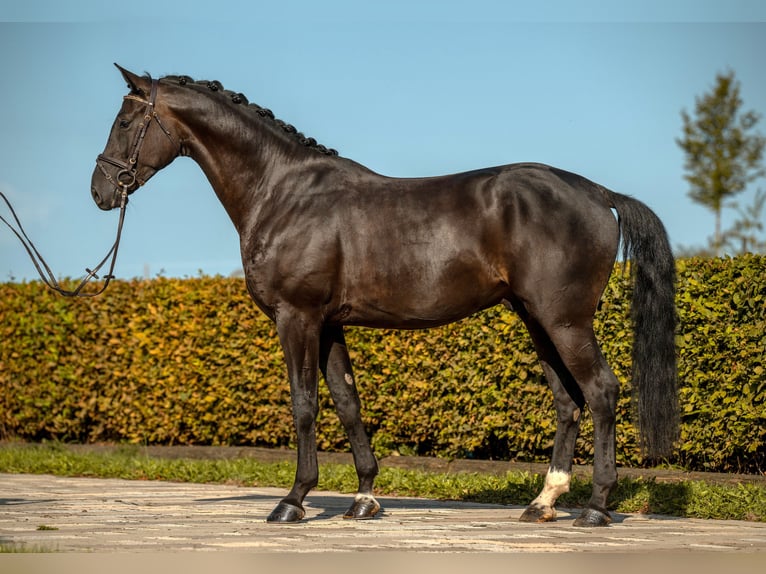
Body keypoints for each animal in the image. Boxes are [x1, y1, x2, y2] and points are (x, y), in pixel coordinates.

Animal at [91, 64, 678, 527]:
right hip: (537, 319)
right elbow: (348, 403)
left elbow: (304, 405)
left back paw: (596, 507)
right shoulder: (329, 323)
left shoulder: (297, 318)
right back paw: (543, 502)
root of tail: (597, 192)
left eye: (124, 122)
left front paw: (293, 500)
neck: (282, 192)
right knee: (567, 401)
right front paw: (364, 497)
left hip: (565, 321)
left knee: (600, 393)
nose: (99, 192)